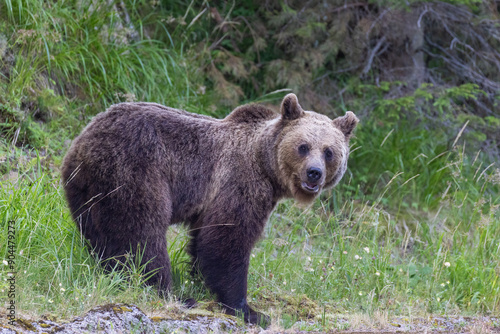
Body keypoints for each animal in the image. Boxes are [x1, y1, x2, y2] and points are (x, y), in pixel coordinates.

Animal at [61, 93, 360, 324]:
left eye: (329, 151)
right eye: (303, 146)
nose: (314, 173)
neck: (266, 167)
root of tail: (85, 140)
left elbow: (203, 240)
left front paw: (201, 280)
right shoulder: (238, 182)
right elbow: (228, 241)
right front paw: (249, 310)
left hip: (86, 192)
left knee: (102, 233)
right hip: (134, 170)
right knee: (141, 234)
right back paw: (172, 294)